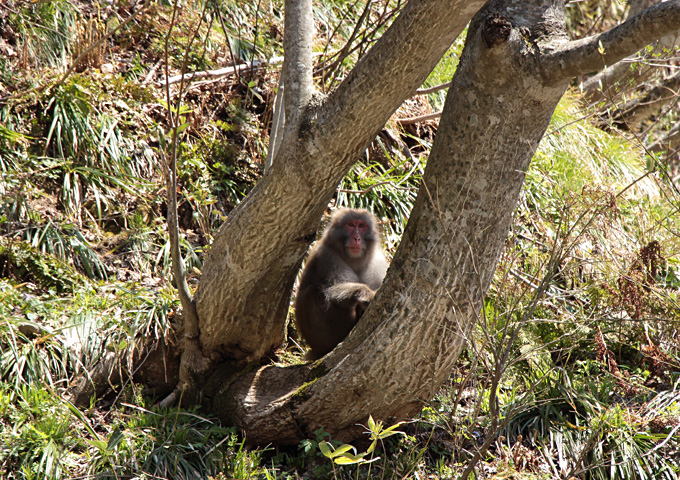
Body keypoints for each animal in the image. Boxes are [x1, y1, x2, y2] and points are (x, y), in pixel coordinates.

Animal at [294, 208, 388, 358]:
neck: (354, 259)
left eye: (362, 226)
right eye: (351, 225)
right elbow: (332, 291)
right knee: (313, 293)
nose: (357, 238)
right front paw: (366, 293)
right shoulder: (327, 256)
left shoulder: (377, 260)